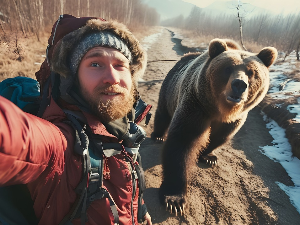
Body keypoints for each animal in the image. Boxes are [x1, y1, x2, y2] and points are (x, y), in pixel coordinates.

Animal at [151, 38, 278, 214]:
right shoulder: (195, 104)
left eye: (252, 72)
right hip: (170, 88)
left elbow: (219, 137)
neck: (220, 110)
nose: (239, 85)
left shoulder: (232, 121)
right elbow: (182, 141)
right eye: (228, 68)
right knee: (163, 112)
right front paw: (174, 200)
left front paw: (208, 156)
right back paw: (158, 135)